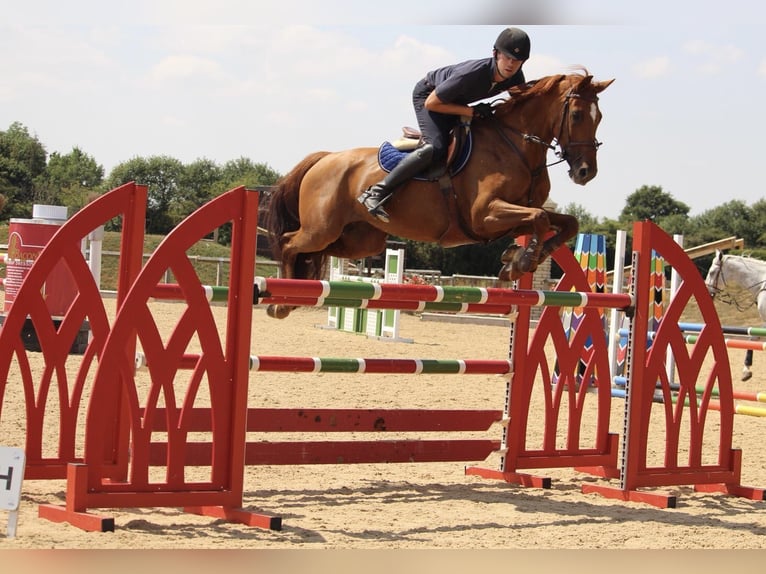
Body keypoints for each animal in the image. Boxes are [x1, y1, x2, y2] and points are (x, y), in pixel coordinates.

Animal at [265, 70, 614, 319]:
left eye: (599, 118)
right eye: (577, 115)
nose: (586, 172)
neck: (515, 146)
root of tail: (325, 158)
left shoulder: (510, 216)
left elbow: (566, 222)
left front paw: (519, 258)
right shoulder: (485, 215)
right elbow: (541, 218)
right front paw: (522, 260)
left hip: (359, 239)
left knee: (314, 254)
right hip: (322, 228)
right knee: (289, 243)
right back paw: (280, 303)